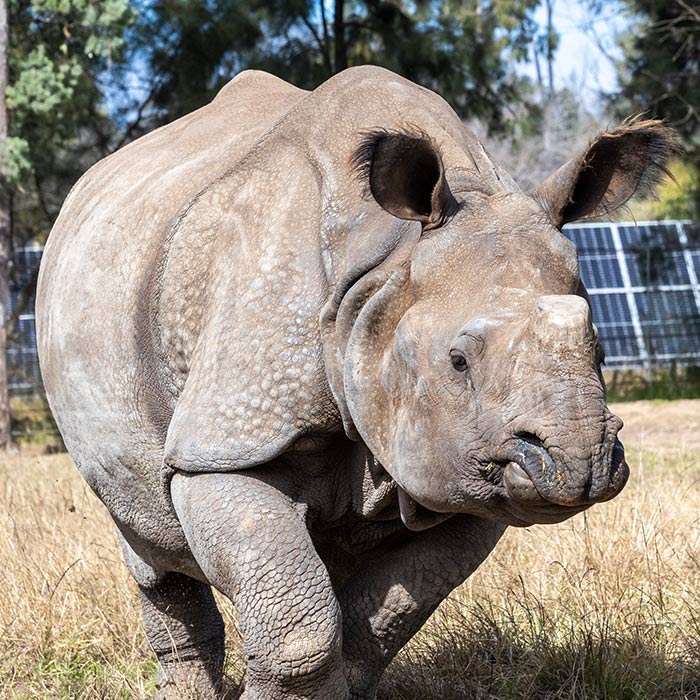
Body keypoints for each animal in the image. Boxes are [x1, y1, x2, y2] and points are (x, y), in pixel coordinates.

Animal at [36, 65, 672, 699]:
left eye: (601, 349)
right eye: (458, 361)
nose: (579, 462)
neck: (383, 272)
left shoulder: (457, 472)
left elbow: (381, 619)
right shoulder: (226, 442)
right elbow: (301, 638)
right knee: (147, 540)